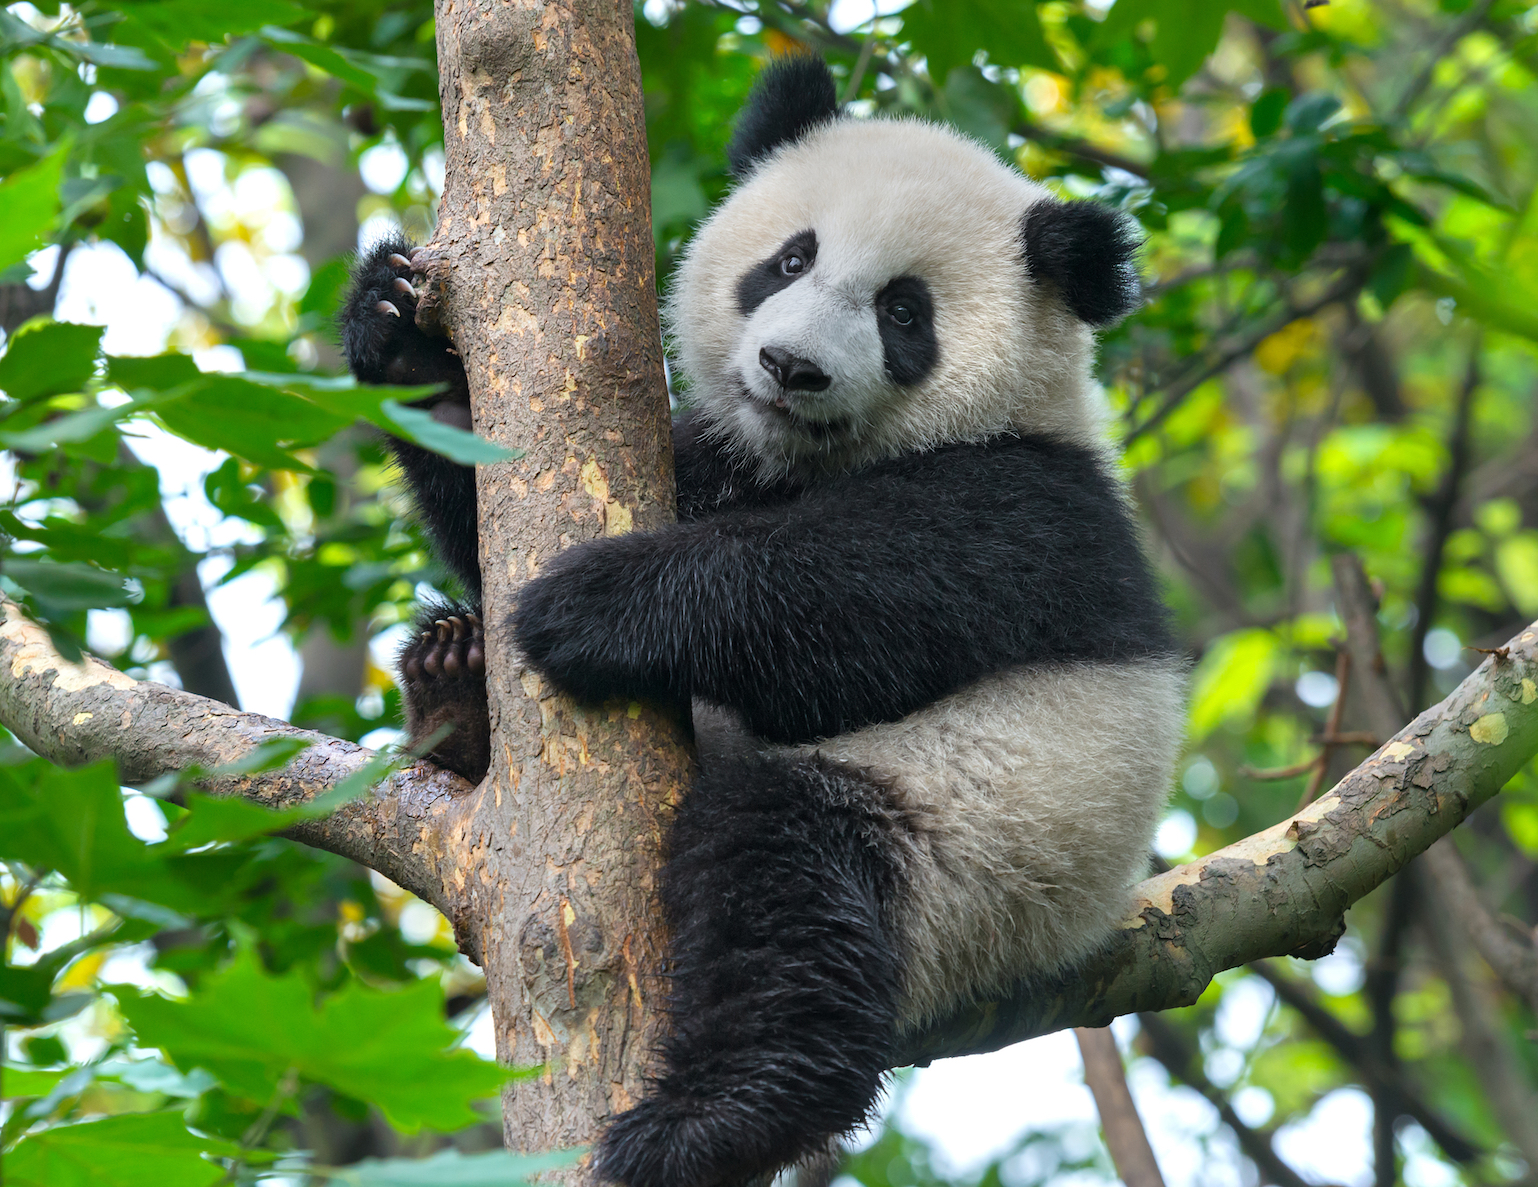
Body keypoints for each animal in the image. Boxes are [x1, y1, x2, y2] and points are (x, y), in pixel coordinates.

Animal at [341, 55, 1183, 1187]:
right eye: (790, 259)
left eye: (903, 313)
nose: (791, 367)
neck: (817, 457)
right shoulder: (718, 457)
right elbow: (488, 496)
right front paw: (397, 332)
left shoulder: (1031, 509)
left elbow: (852, 608)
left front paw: (592, 605)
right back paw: (453, 681)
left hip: (976, 853)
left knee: (789, 882)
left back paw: (710, 1119)